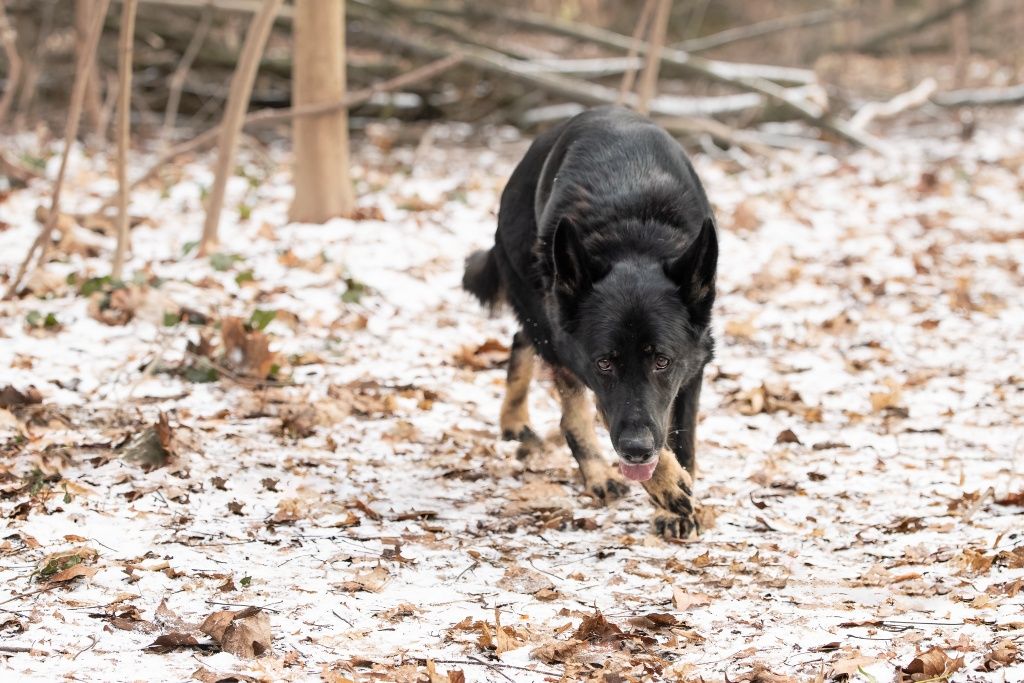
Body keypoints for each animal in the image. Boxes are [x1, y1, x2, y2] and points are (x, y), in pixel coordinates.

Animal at [466, 107, 720, 540]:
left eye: (662, 361)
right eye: (605, 362)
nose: (636, 448)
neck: (634, 232)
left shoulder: (691, 368)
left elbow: (681, 437)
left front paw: (673, 500)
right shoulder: (584, 365)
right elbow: (606, 413)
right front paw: (666, 486)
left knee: (520, 337)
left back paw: (514, 418)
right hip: (543, 310)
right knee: (566, 405)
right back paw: (595, 471)